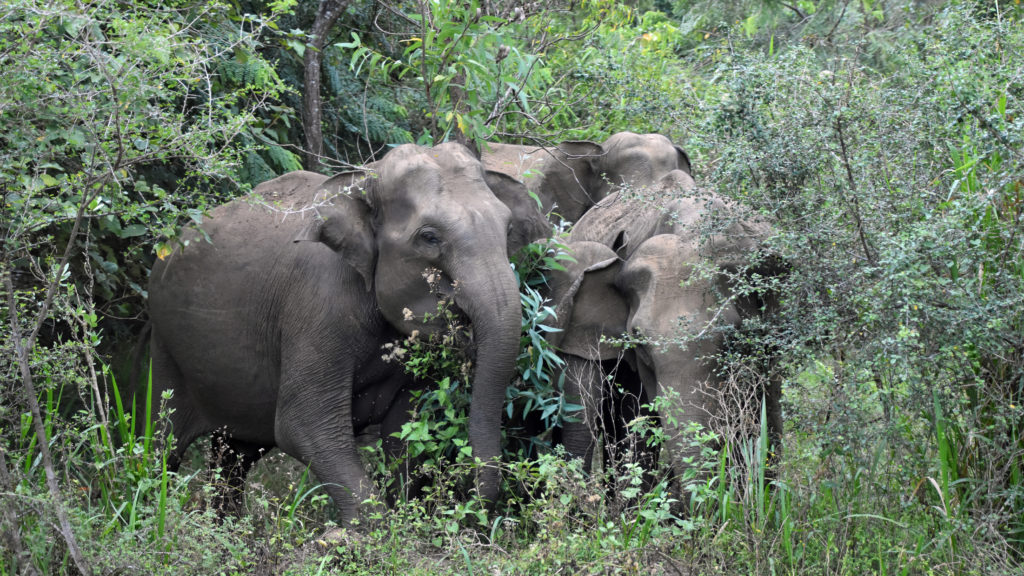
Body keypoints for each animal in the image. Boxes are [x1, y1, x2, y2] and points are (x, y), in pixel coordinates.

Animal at [148, 142, 524, 520]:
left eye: (509, 229)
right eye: (429, 237)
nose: (465, 498)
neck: (365, 176)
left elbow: (405, 429)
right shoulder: (316, 303)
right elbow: (302, 424)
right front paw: (371, 527)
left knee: (236, 454)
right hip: (163, 344)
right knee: (159, 440)